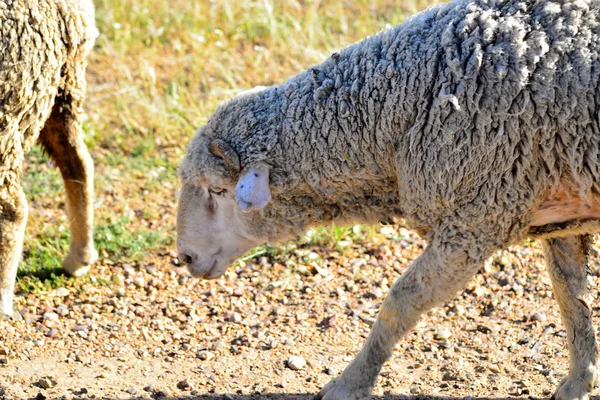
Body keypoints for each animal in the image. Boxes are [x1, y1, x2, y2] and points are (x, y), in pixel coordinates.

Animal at [178, 1, 600, 398]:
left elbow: (400, 303)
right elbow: (571, 299)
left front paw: (349, 383)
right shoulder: (559, 216)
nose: (185, 257)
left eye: (217, 190)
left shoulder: (473, 221)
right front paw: (579, 381)